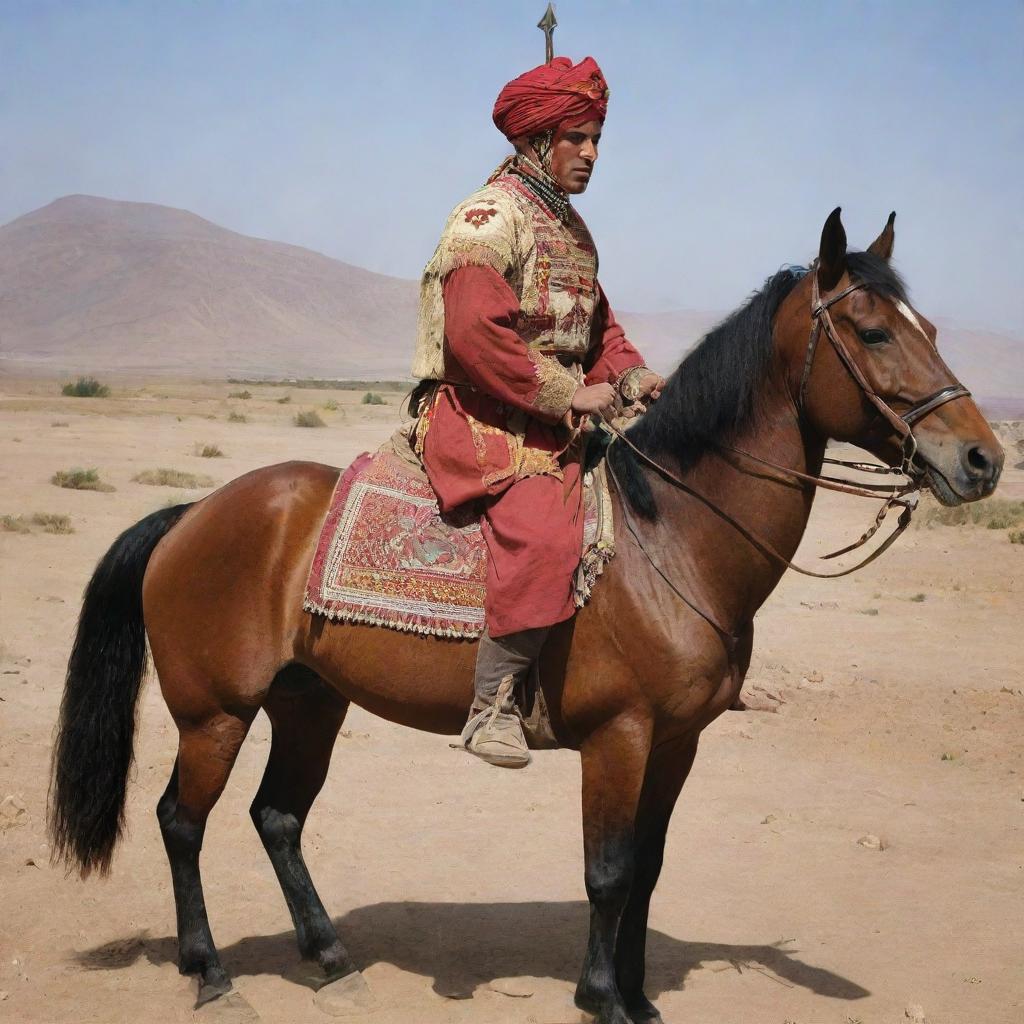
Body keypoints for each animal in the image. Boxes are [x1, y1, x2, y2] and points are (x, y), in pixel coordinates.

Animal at [46, 209, 999, 1024]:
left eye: (931, 328)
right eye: (874, 332)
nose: (981, 459)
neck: (672, 539)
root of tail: (191, 514)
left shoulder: (679, 741)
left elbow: (649, 867)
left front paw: (640, 997)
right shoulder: (620, 736)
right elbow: (608, 872)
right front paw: (603, 997)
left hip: (309, 702)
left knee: (277, 818)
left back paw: (332, 958)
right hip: (214, 713)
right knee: (181, 821)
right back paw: (210, 972)